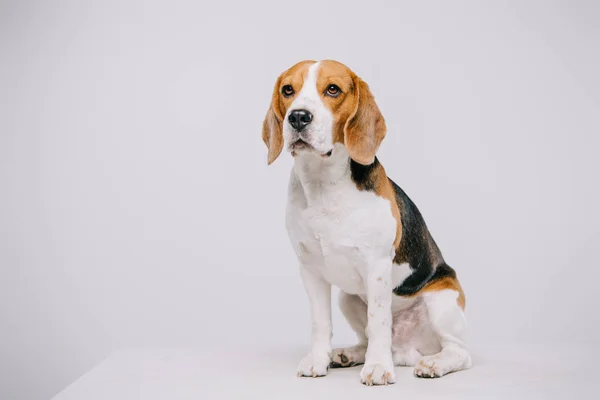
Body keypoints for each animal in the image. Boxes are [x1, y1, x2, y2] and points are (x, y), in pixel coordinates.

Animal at [262, 61, 474, 386]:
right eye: (288, 90)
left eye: (332, 89)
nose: (298, 117)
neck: (325, 184)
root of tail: (407, 348)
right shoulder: (310, 269)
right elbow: (320, 322)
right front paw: (317, 360)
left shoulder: (376, 267)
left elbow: (378, 322)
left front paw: (376, 367)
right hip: (347, 298)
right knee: (367, 337)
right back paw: (348, 354)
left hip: (443, 301)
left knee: (460, 352)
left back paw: (433, 363)